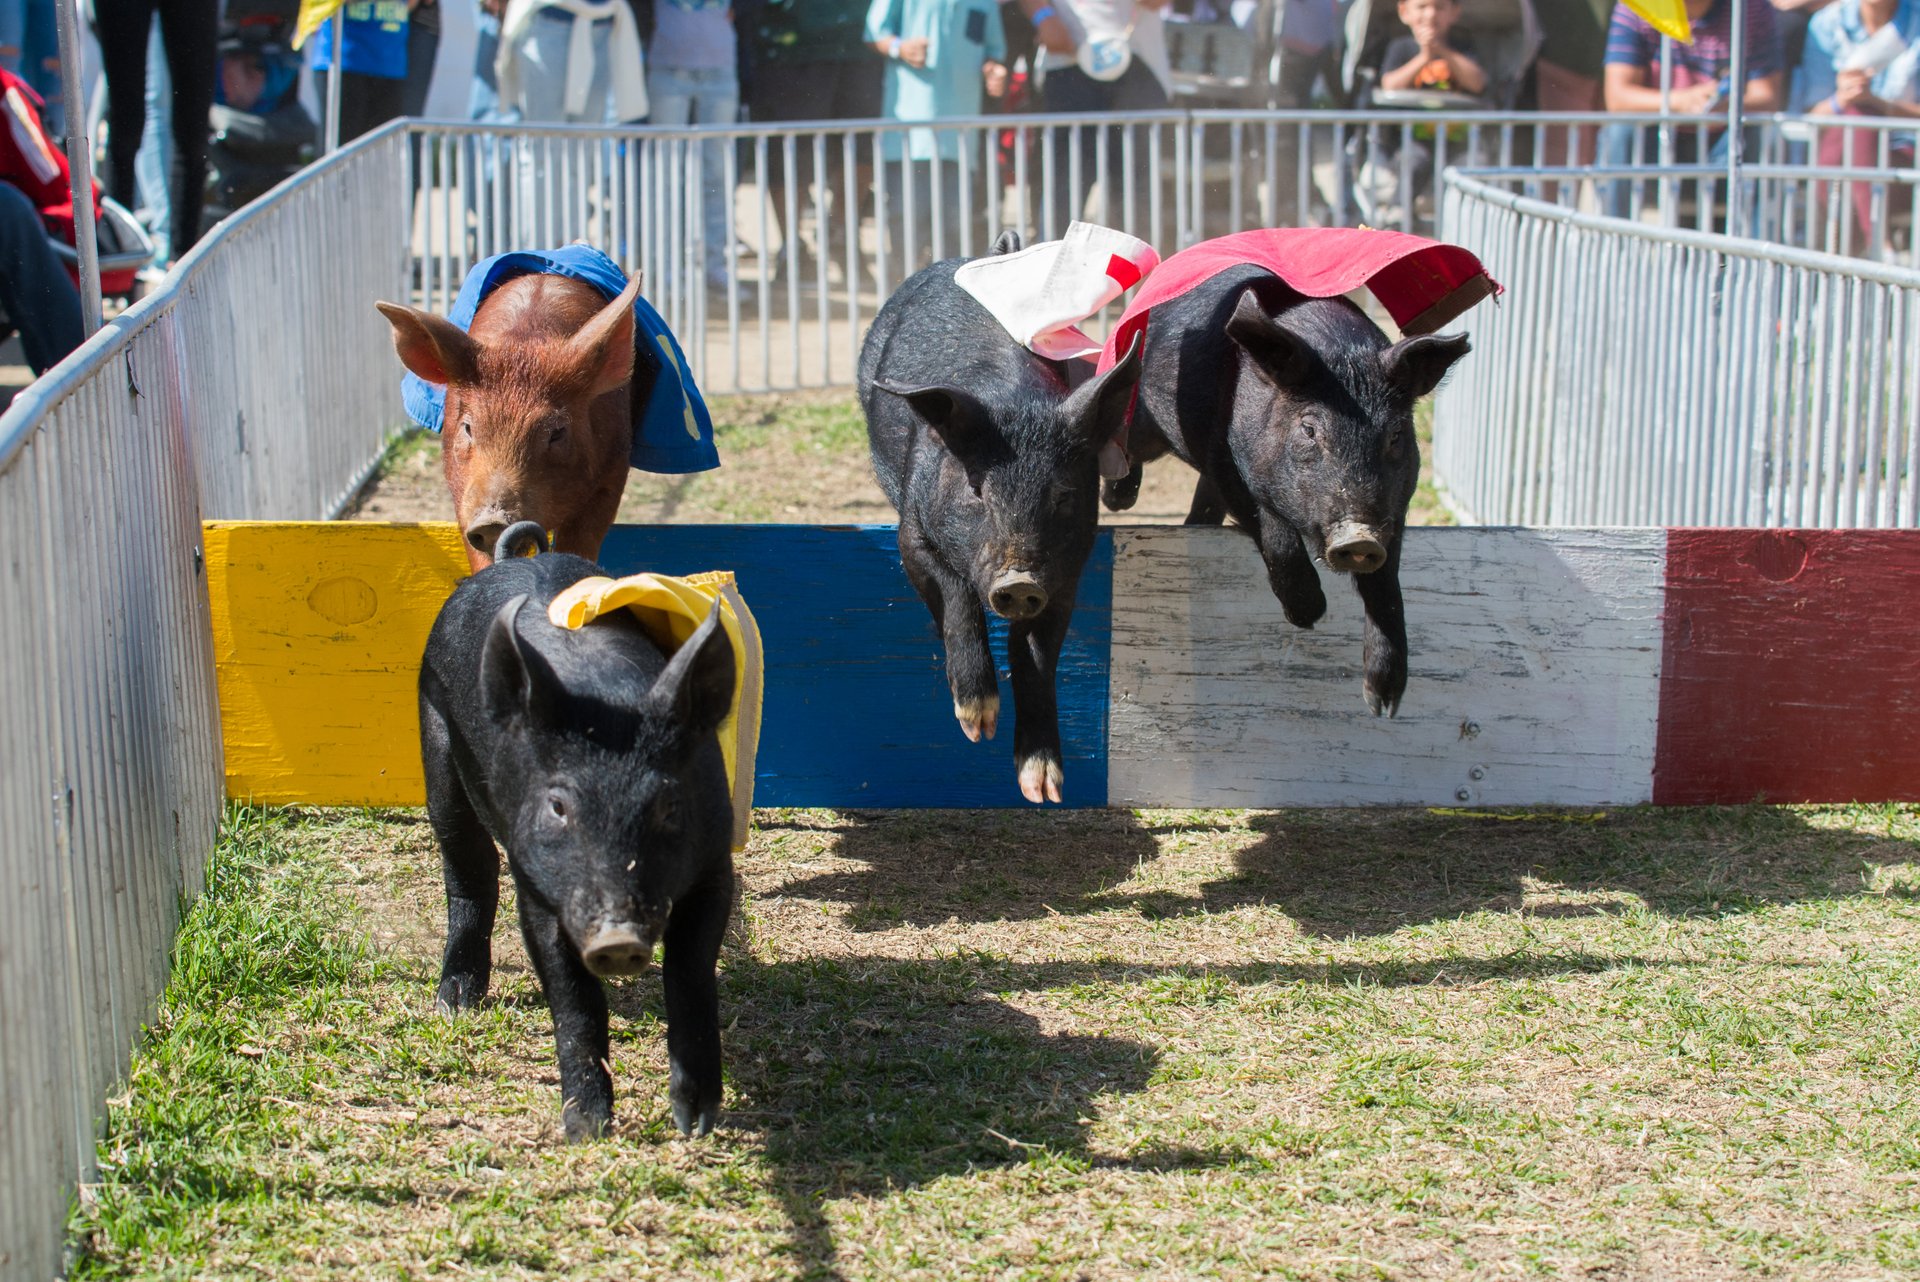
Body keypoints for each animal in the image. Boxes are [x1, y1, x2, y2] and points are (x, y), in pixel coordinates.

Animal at [374, 276, 645, 571]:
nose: (492, 522)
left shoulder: (611, 475)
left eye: (557, 432)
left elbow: (579, 544)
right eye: (467, 428)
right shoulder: (463, 492)